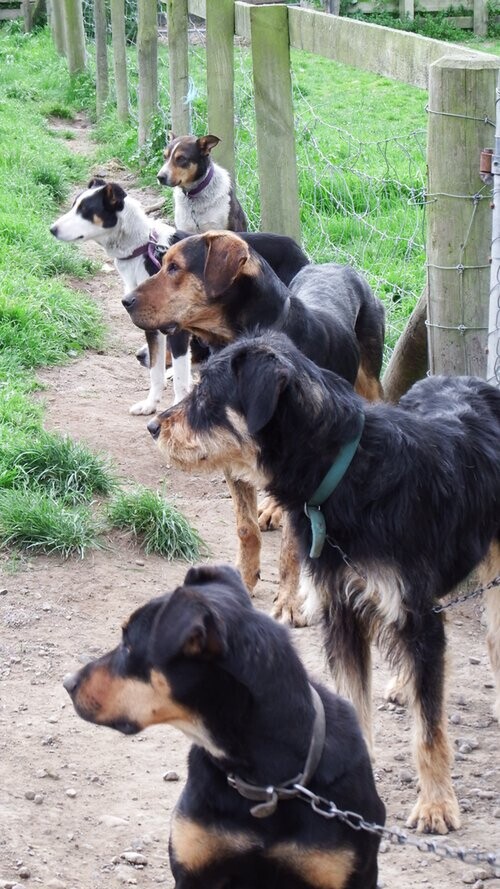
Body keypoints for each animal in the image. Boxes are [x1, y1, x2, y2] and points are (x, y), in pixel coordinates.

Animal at [50, 183, 307, 415]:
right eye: (74, 205)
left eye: (85, 210)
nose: (52, 229)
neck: (142, 248)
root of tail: (295, 245)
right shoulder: (151, 324)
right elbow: (155, 371)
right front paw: (150, 404)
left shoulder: (178, 327)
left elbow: (181, 378)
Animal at [122, 230, 385, 623]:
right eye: (163, 262)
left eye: (175, 267)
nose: (125, 301)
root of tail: (338, 265)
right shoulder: (229, 454)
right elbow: (245, 529)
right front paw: (243, 582)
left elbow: (292, 546)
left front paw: (290, 601)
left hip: (370, 380)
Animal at [145, 331, 500, 836]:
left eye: (209, 396)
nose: (154, 427)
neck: (349, 474)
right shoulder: (343, 612)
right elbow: (355, 700)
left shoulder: (412, 611)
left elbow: (430, 729)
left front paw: (436, 804)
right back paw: (401, 682)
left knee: (486, 639)